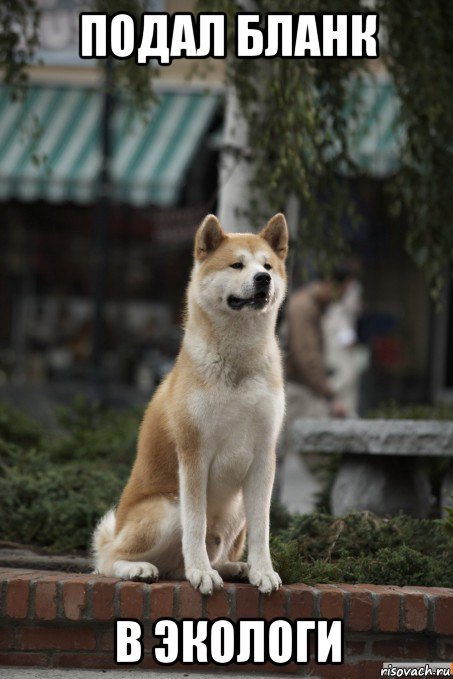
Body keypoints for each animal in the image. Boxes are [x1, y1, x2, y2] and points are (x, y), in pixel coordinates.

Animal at [93, 212, 288, 596]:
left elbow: (263, 530)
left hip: (236, 509)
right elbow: (195, 526)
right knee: (108, 560)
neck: (237, 364)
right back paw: (142, 568)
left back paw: (235, 568)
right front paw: (201, 573)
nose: (263, 279)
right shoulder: (194, 454)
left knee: (203, 558)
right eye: (237, 264)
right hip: (167, 508)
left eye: (268, 266)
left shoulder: (263, 457)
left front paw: (263, 571)